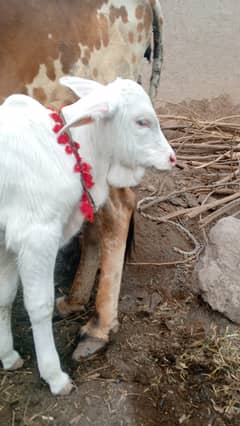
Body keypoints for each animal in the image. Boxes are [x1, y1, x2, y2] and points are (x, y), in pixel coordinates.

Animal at [0, 77, 176, 396]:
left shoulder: (7, 239)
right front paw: (54, 376)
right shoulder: (36, 237)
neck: (63, 151)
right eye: (141, 121)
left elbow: (4, 296)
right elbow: (39, 305)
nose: (172, 157)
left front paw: (7, 355)